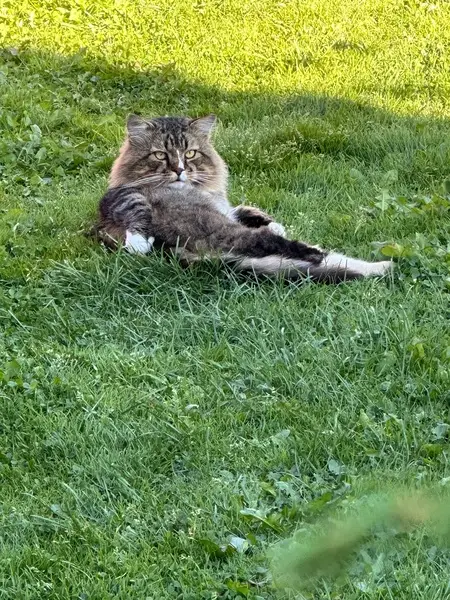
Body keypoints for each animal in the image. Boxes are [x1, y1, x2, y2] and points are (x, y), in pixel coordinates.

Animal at [94, 114, 392, 282]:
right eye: (159, 155)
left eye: (190, 153)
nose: (179, 170)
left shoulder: (226, 206)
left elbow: (245, 208)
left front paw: (271, 221)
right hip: (236, 237)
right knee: (318, 257)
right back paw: (383, 266)